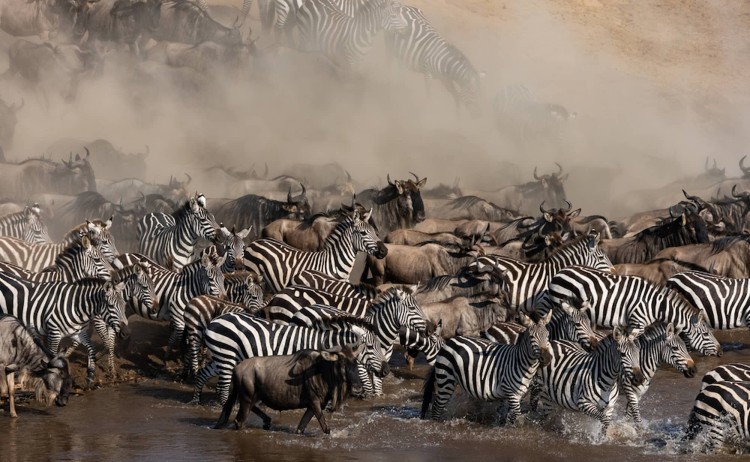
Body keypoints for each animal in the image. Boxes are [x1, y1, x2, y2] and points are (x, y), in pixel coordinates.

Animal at [192, 311, 363, 404]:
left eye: (356, 361)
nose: (359, 389)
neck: (318, 342)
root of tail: (214, 320)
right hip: (226, 355)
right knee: (223, 387)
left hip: (224, 356)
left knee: (203, 373)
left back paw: (196, 401)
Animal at [420, 311, 553, 423]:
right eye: (531, 337)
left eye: (547, 335)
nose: (547, 357)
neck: (521, 363)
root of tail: (449, 342)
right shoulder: (510, 392)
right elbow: (516, 415)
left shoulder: (516, 394)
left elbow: (509, 415)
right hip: (446, 380)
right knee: (437, 408)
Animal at [547, 265, 722, 356]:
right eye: (706, 334)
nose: (720, 353)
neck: (655, 305)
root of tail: (561, 271)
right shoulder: (637, 324)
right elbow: (634, 343)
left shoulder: (632, 325)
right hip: (558, 303)